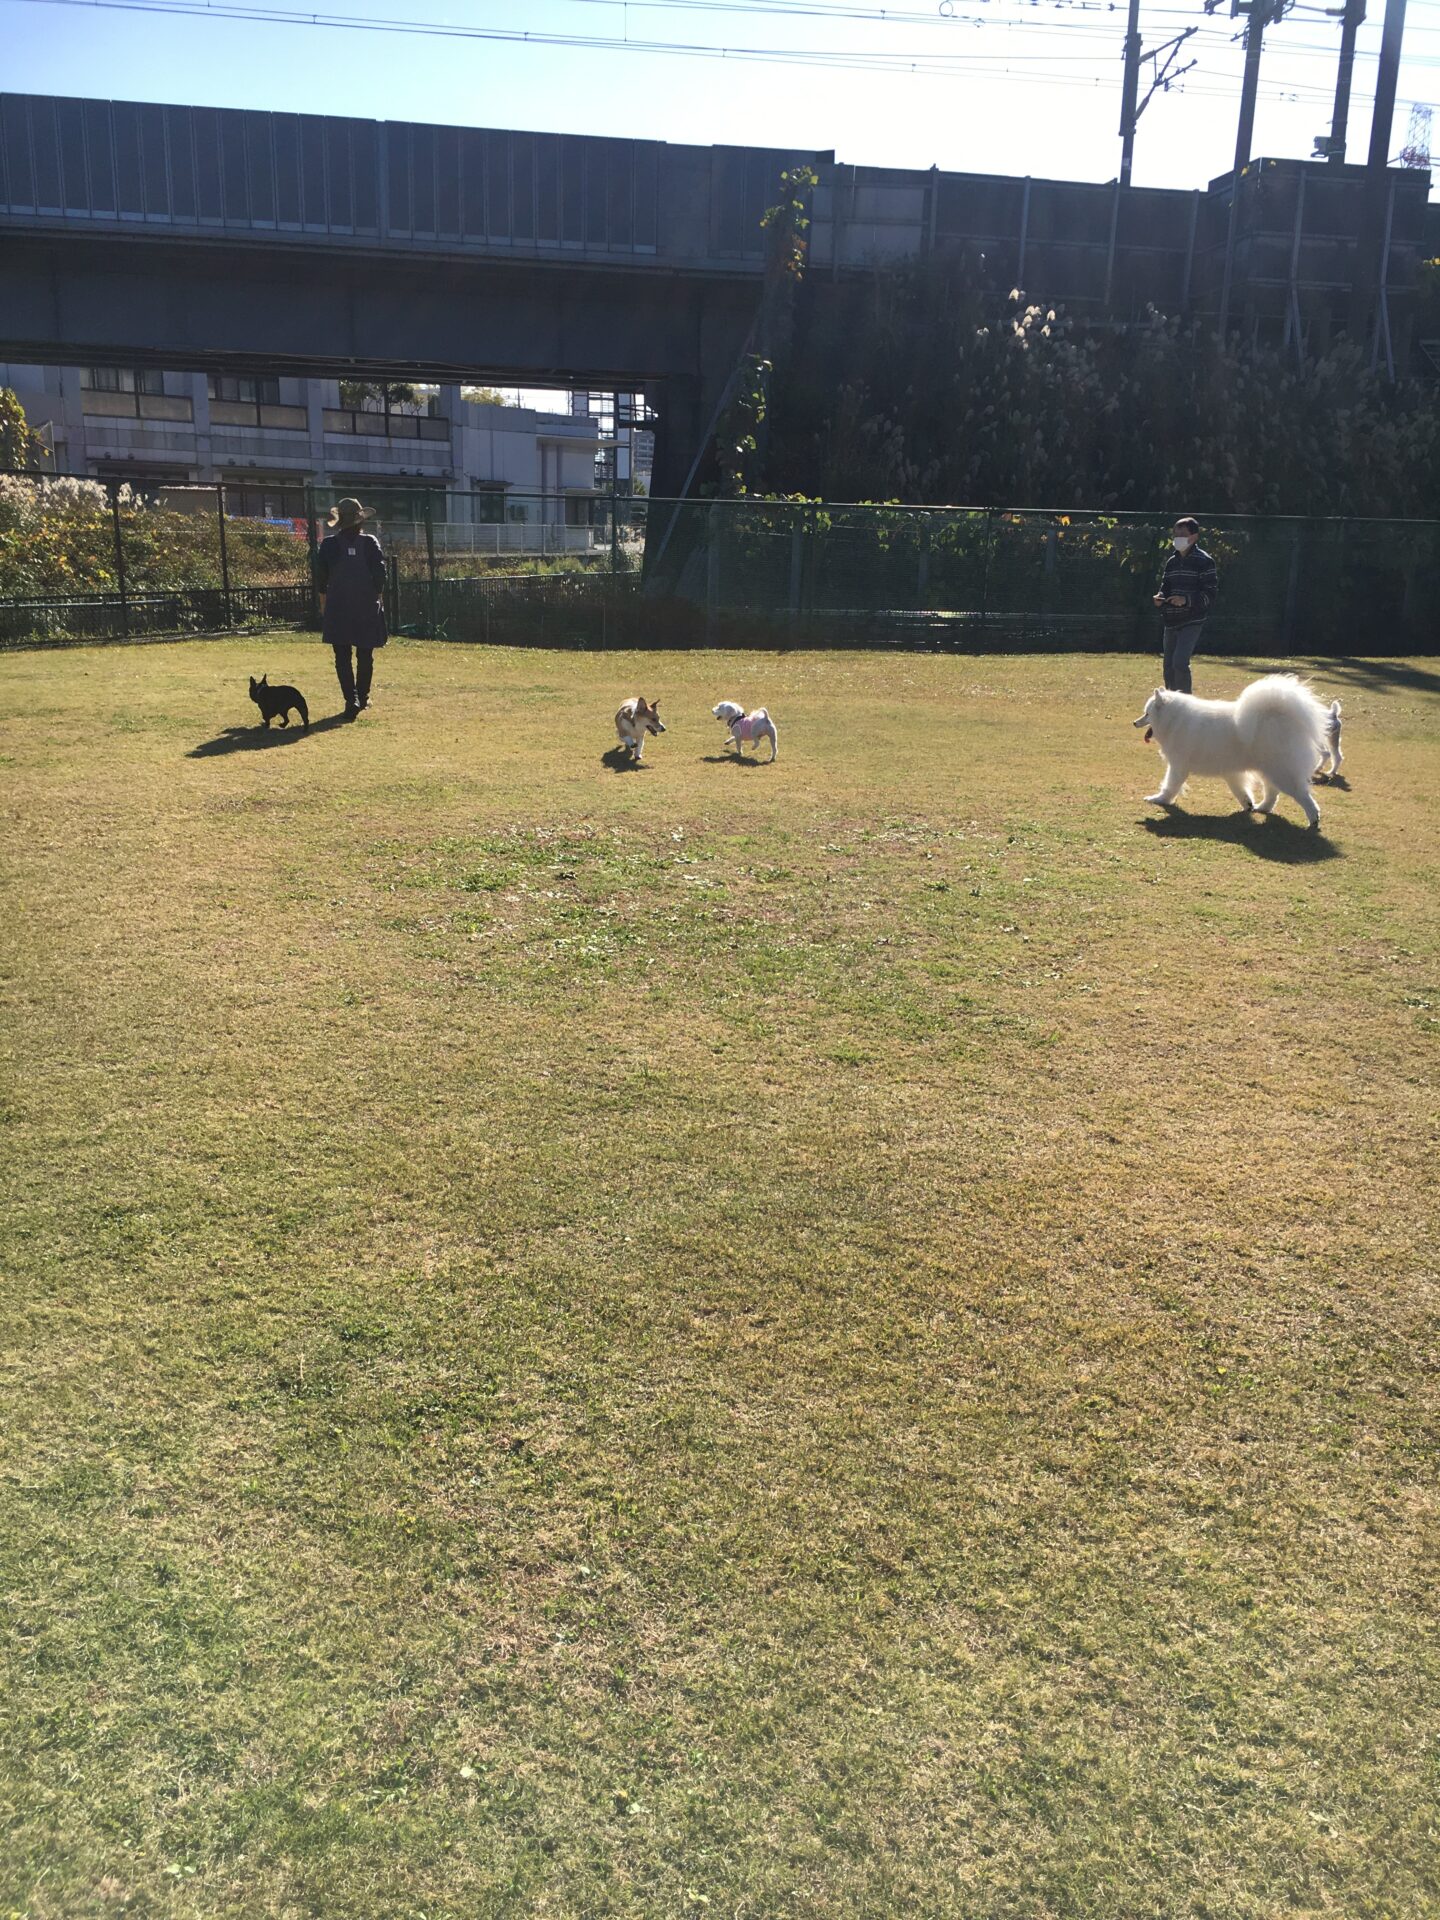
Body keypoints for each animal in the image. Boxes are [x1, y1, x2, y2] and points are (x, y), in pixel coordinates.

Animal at [1134, 674, 1331, 828]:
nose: (1134, 722)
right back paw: (1262, 807)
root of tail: (1281, 717)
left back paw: (1313, 819)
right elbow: (1240, 790)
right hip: (1269, 770)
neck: (1174, 720)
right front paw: (1248, 805)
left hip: (1282, 772)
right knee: (1272, 792)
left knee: (1302, 795)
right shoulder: (1231, 771)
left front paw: (1159, 799)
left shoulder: (1178, 766)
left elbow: (1170, 785)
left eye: (1147, 714)